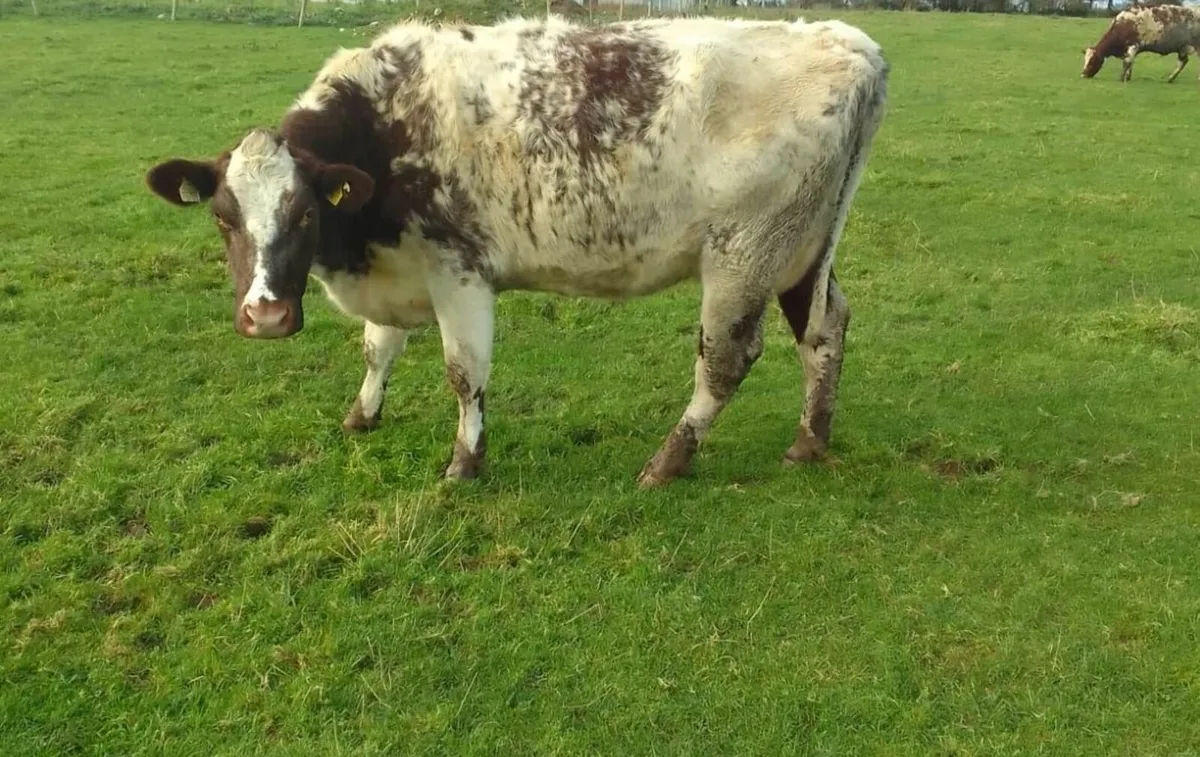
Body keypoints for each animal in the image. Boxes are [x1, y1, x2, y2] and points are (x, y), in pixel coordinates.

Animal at [143, 15, 889, 488]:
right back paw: (810, 439)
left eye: (303, 213)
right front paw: (362, 414)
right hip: (801, 251)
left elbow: (464, 373)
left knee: (726, 361)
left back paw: (668, 461)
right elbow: (378, 348)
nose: (265, 315)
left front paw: (465, 462)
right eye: (223, 218)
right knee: (826, 328)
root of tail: (848, 41)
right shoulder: (396, 267)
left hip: (744, 253)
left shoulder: (458, 271)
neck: (383, 127)